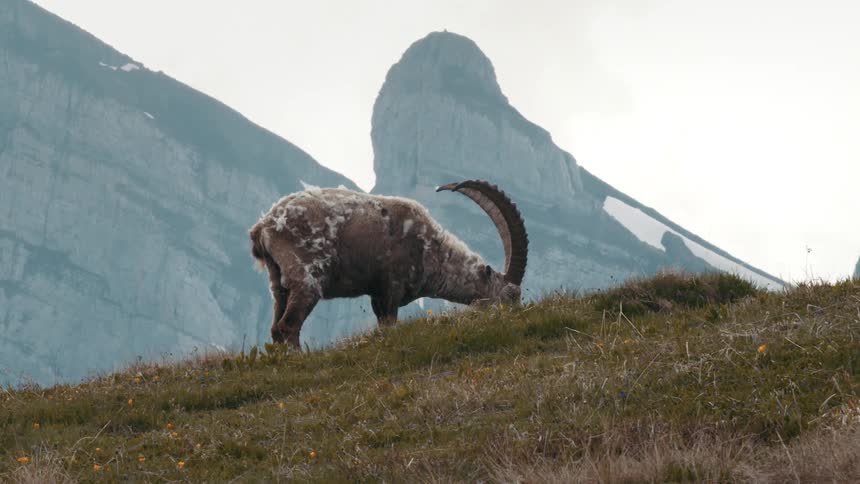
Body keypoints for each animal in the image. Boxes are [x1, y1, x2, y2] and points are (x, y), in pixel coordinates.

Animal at [249, 180, 528, 347]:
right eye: (510, 295)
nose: (517, 317)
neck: (430, 248)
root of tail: (265, 226)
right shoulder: (390, 288)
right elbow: (389, 323)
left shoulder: (376, 294)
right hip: (307, 279)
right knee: (288, 326)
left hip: (278, 282)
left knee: (276, 328)